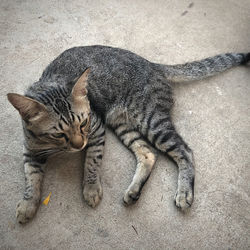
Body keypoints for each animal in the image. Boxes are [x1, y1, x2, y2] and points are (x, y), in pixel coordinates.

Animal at [7, 44, 250, 223]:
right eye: (58, 134)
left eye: (83, 123)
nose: (79, 145)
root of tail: (152, 64)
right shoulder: (30, 150)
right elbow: (31, 178)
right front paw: (28, 204)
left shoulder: (96, 129)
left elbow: (92, 162)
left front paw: (91, 188)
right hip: (123, 125)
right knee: (148, 153)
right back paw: (133, 191)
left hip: (151, 120)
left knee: (185, 150)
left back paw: (184, 193)